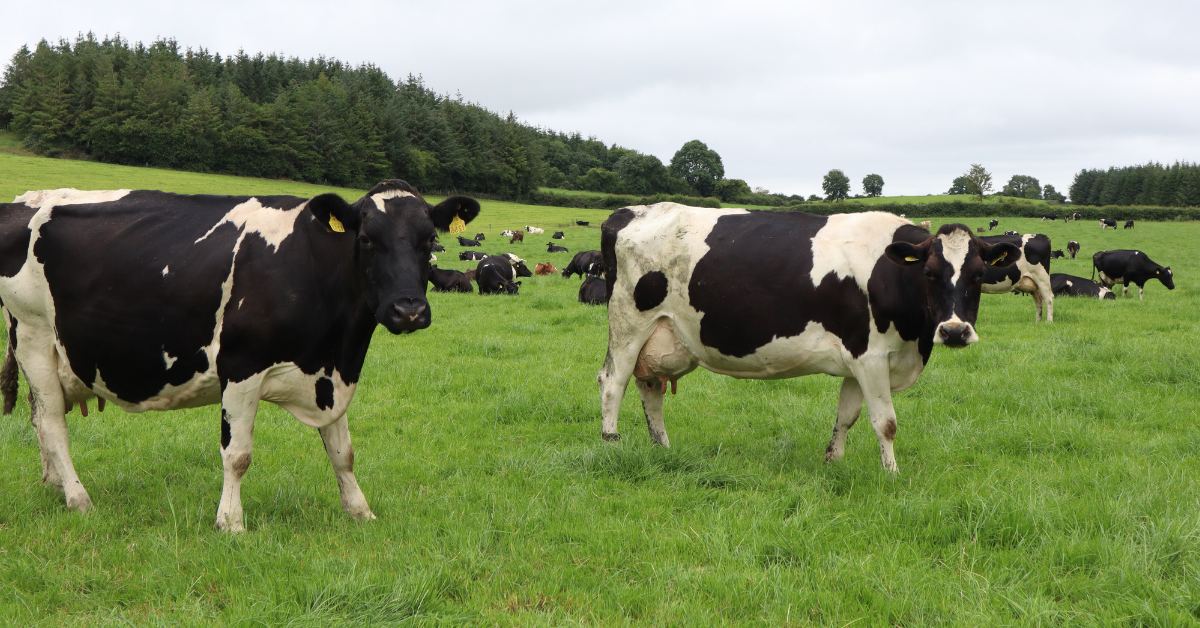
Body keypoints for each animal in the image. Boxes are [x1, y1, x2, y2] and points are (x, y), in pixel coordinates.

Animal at [0, 180, 477, 530]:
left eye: (429, 241)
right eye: (366, 240)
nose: (408, 309)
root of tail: (25, 200)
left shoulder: (331, 375)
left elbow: (343, 453)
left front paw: (360, 511)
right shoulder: (241, 365)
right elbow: (238, 454)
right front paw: (230, 522)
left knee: (40, 418)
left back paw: (54, 486)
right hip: (34, 334)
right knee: (53, 426)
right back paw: (78, 498)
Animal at [595, 205, 1017, 470]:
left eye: (979, 274)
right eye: (929, 273)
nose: (955, 331)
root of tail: (631, 211)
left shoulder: (856, 359)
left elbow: (847, 416)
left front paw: (834, 462)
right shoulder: (871, 356)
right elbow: (886, 422)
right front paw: (892, 474)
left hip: (661, 335)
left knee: (650, 388)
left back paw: (662, 448)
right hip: (629, 324)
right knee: (613, 382)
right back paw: (611, 443)